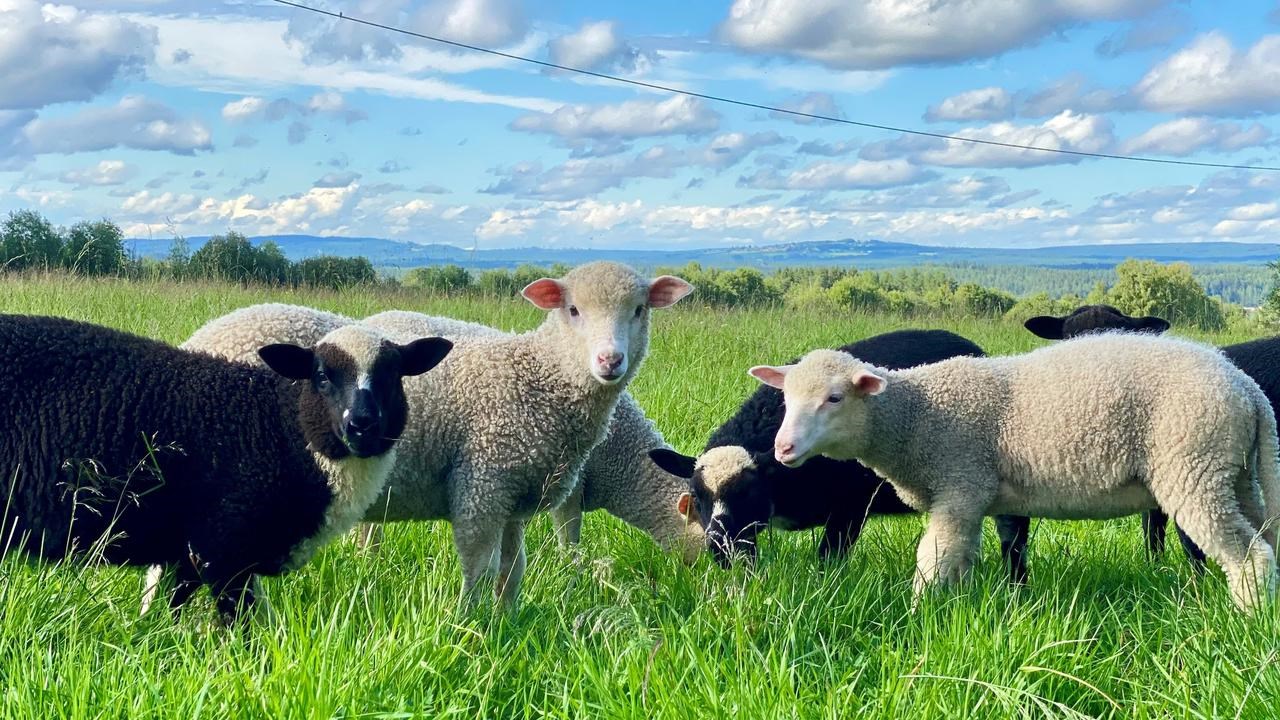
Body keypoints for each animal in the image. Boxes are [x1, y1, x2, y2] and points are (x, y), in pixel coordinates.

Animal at [0, 313, 451, 623]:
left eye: (394, 375)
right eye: (321, 376)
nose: (362, 425)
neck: (280, 429)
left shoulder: (188, 552)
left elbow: (174, 609)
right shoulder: (224, 548)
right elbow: (239, 625)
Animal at [648, 329, 1032, 581]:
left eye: (747, 491)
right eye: (697, 495)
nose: (717, 545)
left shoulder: (850, 507)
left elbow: (828, 558)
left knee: (1014, 540)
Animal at [751, 332, 1280, 611]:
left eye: (834, 398)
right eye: (786, 398)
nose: (783, 448)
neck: (916, 416)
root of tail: (1247, 389)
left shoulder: (960, 485)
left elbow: (933, 560)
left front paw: (918, 615)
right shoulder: (974, 500)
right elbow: (962, 560)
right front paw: (959, 613)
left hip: (1194, 467)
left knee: (1247, 553)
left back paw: (1244, 616)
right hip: (1234, 473)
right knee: (1265, 539)